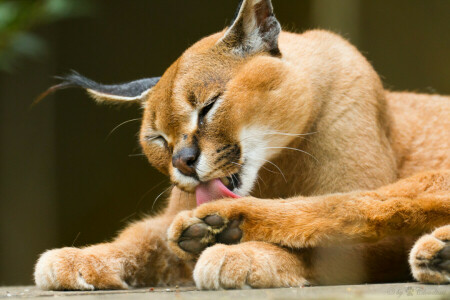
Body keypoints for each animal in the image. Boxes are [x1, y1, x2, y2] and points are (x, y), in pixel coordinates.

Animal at [35, 0, 450, 290]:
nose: (182, 162)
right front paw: (81, 258)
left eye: (207, 106)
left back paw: (221, 224)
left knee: (356, 207)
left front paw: (245, 253)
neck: (275, 167)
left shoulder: (371, 245)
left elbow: (328, 237)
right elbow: (141, 236)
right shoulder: (167, 217)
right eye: (157, 138)